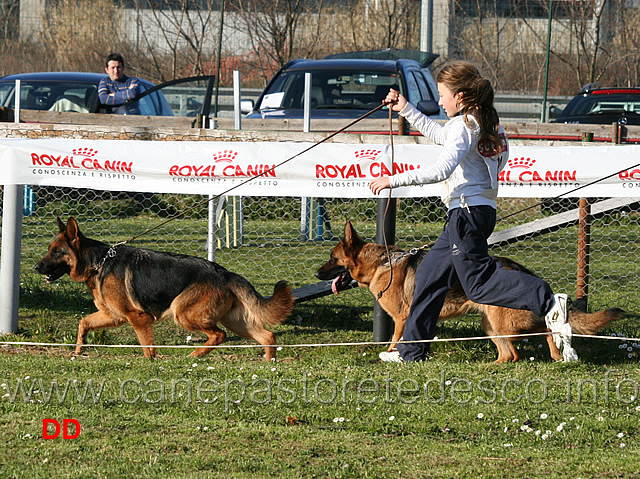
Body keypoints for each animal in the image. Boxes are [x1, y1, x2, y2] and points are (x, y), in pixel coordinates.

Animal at [35, 218, 296, 360]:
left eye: (56, 252)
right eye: (50, 250)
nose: (36, 267)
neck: (99, 262)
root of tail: (225, 273)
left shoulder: (138, 317)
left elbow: (147, 347)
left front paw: (150, 362)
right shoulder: (114, 316)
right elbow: (83, 323)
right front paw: (79, 350)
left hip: (184, 313)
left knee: (219, 335)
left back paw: (196, 355)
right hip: (236, 322)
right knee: (267, 336)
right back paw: (270, 363)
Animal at [318, 222, 624, 364]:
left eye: (332, 259)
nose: (316, 275)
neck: (381, 264)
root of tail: (525, 271)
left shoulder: (403, 319)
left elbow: (396, 340)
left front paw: (395, 356)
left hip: (502, 324)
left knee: (529, 340)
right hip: (491, 326)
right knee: (518, 349)